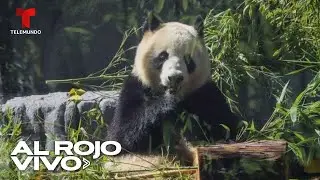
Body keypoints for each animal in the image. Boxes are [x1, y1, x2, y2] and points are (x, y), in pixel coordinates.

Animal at [106, 12, 239, 167]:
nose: (175, 78)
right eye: (163, 56)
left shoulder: (205, 92)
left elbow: (226, 130)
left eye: (188, 59)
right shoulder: (137, 87)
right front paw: (168, 105)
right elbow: (122, 137)